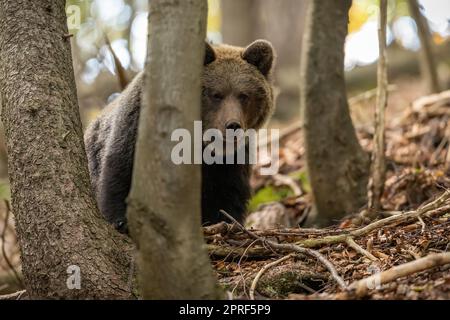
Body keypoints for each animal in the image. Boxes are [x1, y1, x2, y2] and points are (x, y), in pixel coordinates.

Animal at [84, 40, 274, 232]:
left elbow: (227, 195)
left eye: (243, 95)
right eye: (216, 95)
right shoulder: (137, 127)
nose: (233, 125)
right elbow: (120, 172)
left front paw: (227, 222)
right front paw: (121, 220)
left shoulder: (231, 161)